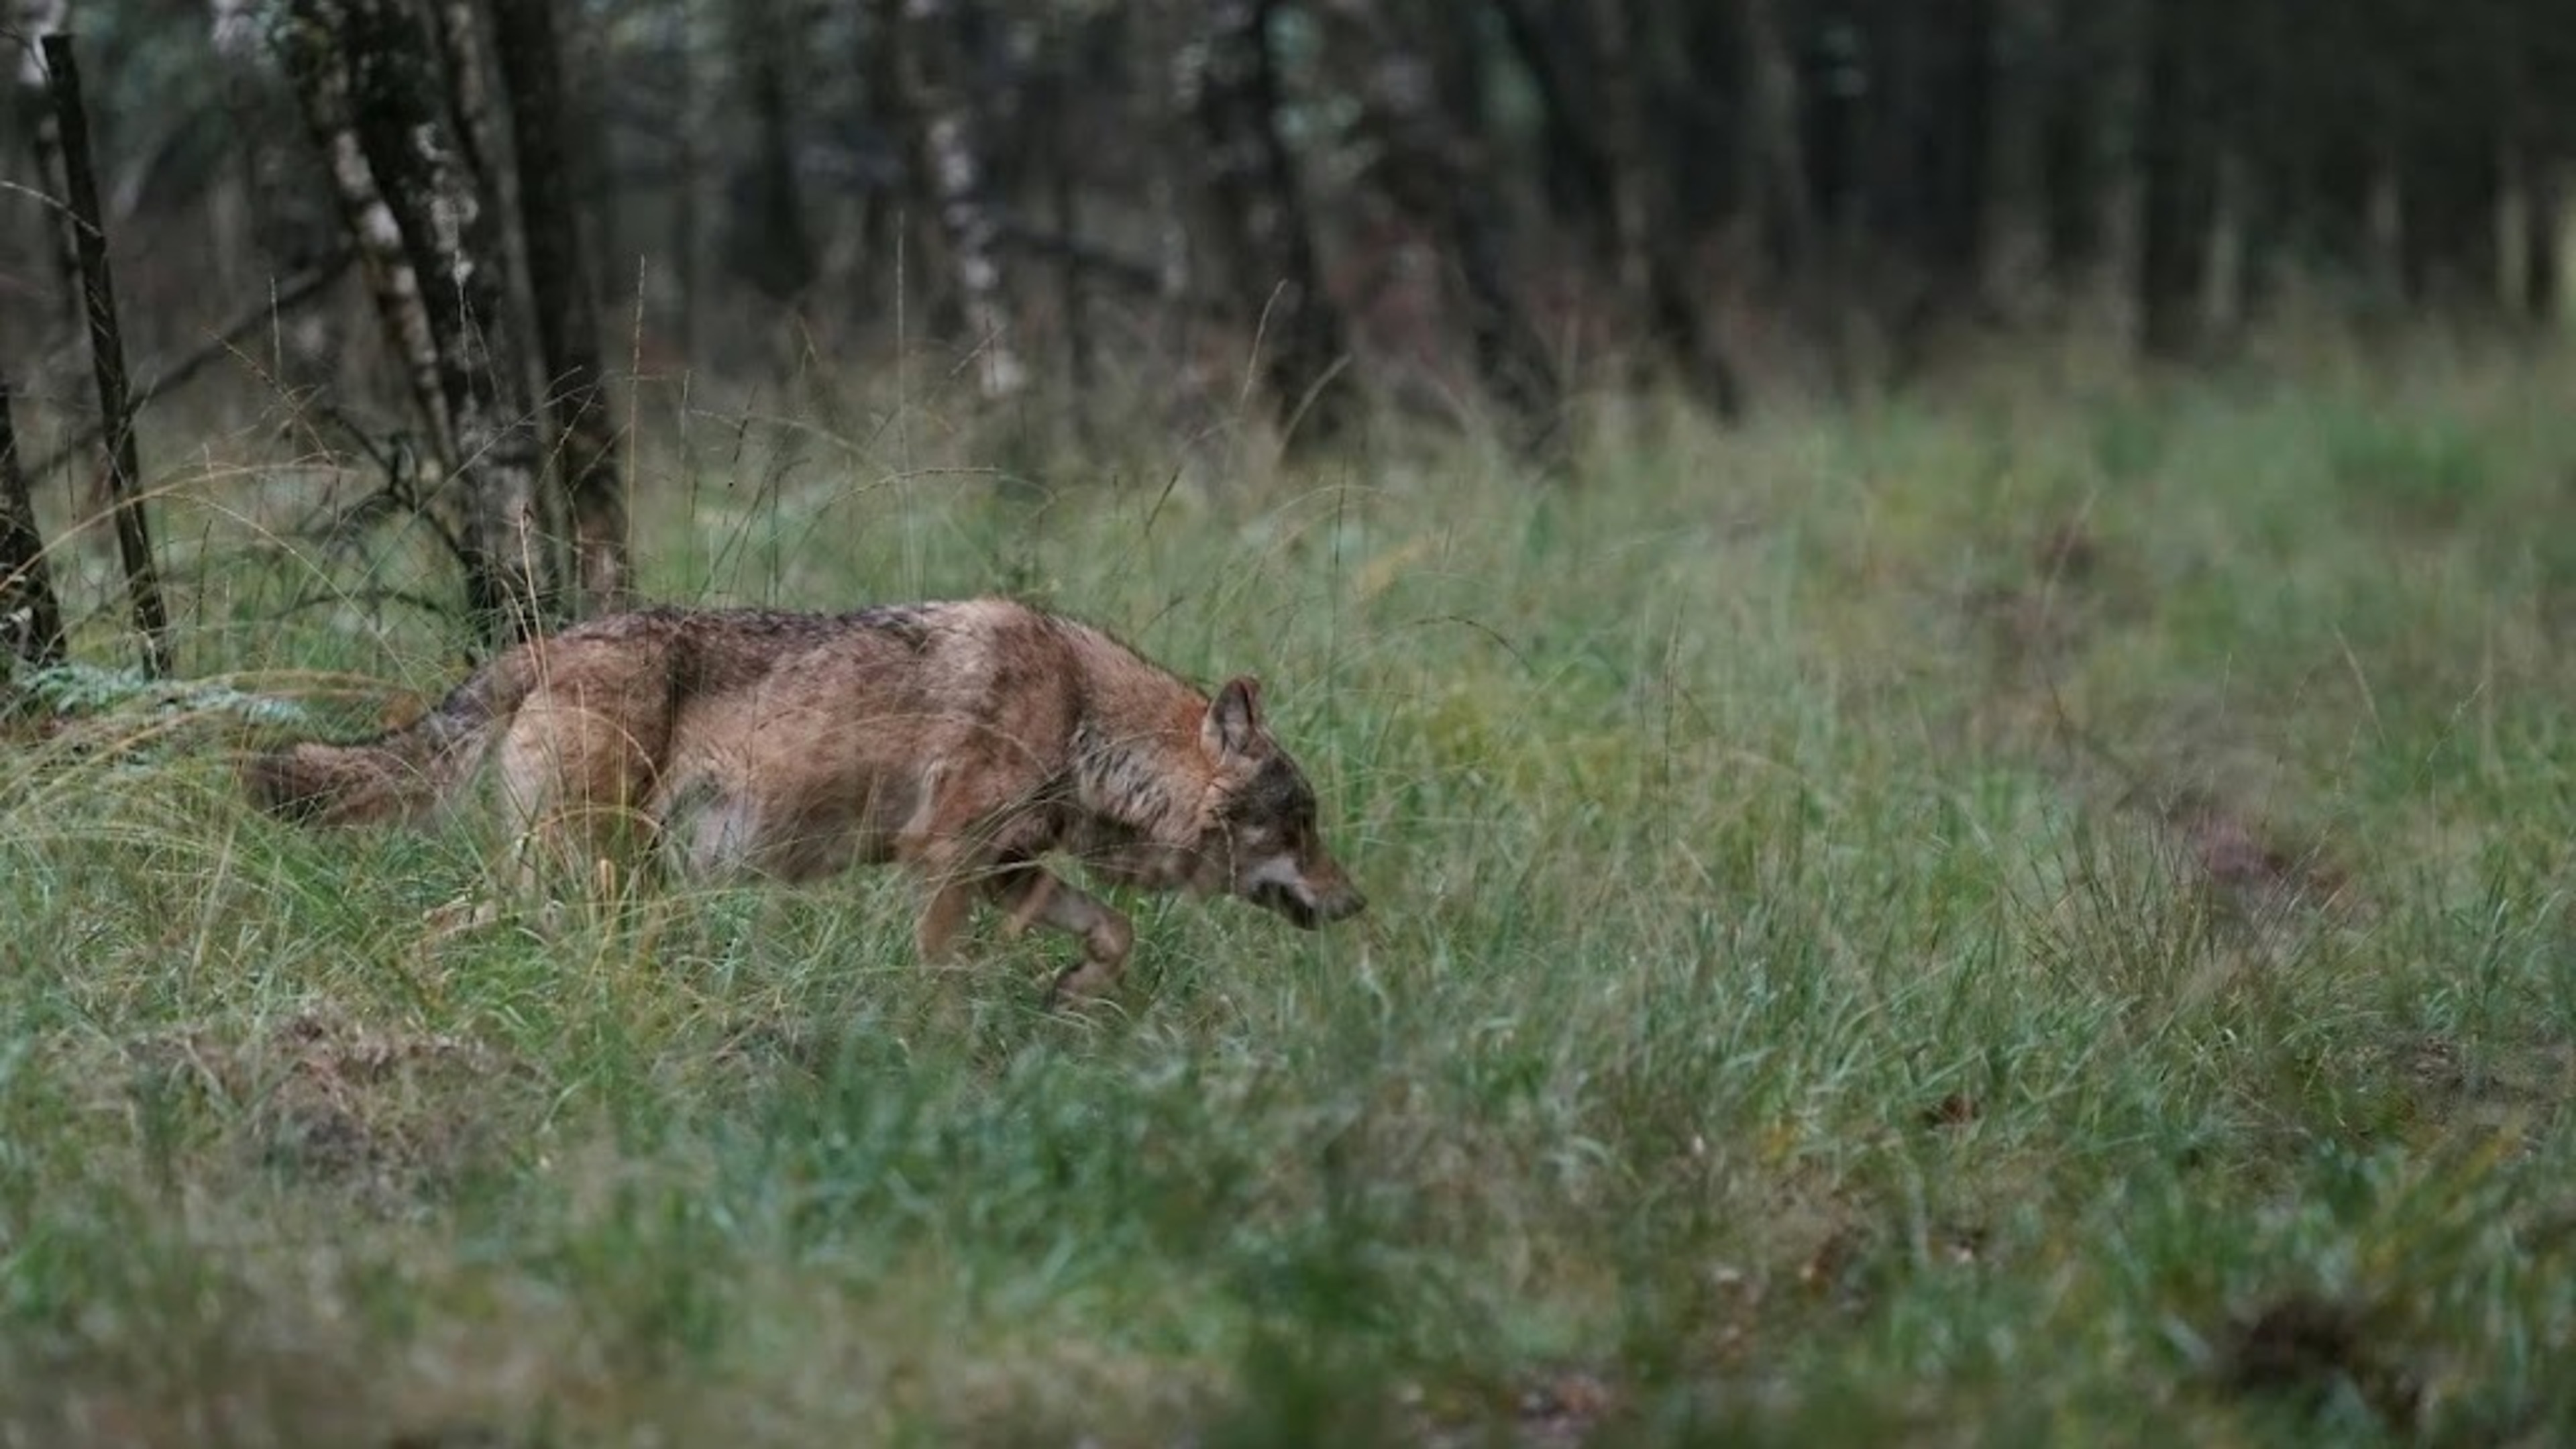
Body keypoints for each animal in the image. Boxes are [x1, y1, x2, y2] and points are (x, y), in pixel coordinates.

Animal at [243, 599, 1365, 1002]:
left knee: (431, 929)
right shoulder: (946, 868)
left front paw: (1072, 994)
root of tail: (542, 644)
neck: (1083, 719)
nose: (1359, 905)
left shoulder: (1009, 874)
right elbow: (937, 978)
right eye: (1302, 824)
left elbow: (1116, 932)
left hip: (581, 885)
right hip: (587, 881)